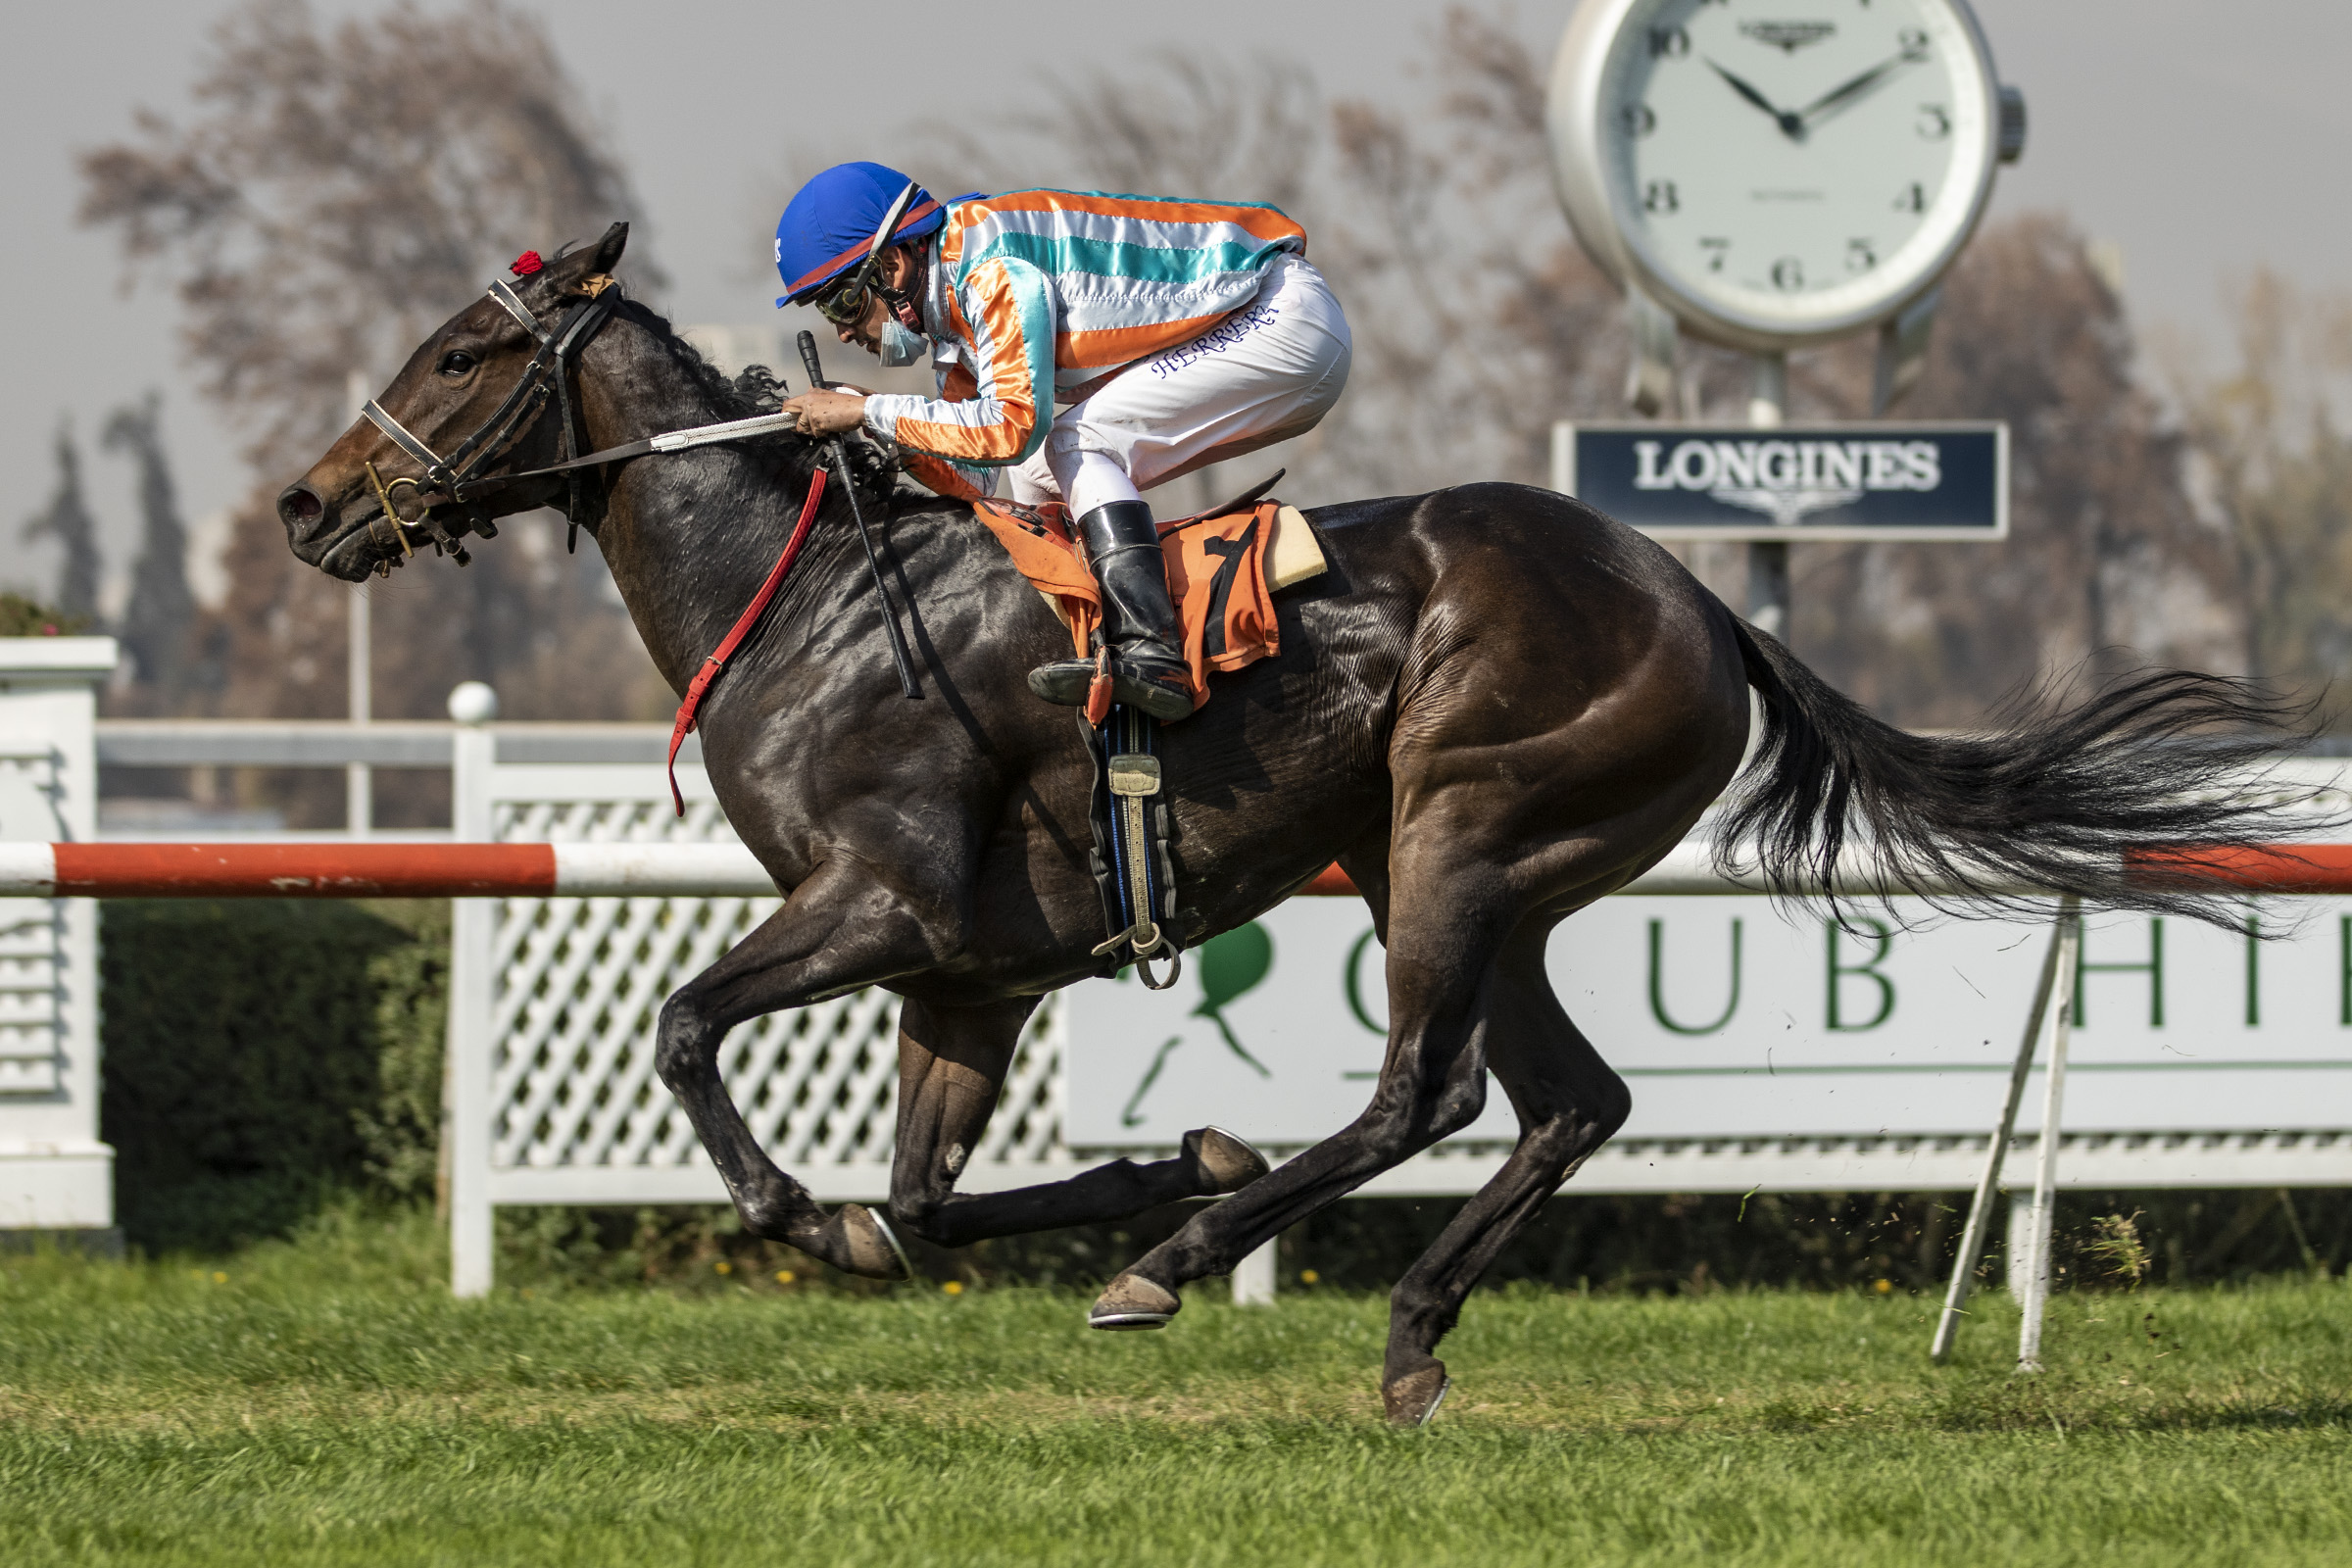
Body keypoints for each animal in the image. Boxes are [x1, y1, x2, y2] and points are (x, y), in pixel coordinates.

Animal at [278, 224, 2299, 1425]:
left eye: (459, 353)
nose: (308, 505)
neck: (815, 602)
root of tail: (1703, 602)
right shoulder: (976, 983)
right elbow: (926, 1202)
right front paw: (1153, 1167)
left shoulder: (890, 909)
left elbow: (687, 1024)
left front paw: (804, 1206)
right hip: (1492, 884)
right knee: (1568, 1103)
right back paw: (1399, 1329)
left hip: (1456, 832)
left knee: (1426, 1092)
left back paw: (1178, 1276)